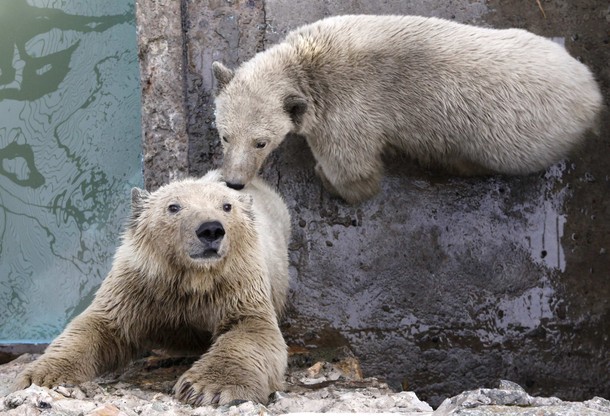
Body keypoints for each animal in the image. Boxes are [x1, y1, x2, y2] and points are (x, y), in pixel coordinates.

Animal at [11, 170, 290, 406]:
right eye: (173, 206)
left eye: (226, 206)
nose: (211, 229)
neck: (190, 278)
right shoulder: (138, 284)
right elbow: (99, 325)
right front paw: (40, 376)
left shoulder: (236, 282)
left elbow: (250, 329)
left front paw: (208, 388)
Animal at [211, 14, 600, 205]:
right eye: (225, 136)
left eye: (261, 142)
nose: (234, 182)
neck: (308, 66)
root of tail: (591, 93)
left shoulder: (343, 114)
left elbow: (354, 171)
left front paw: (329, 180)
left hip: (515, 140)